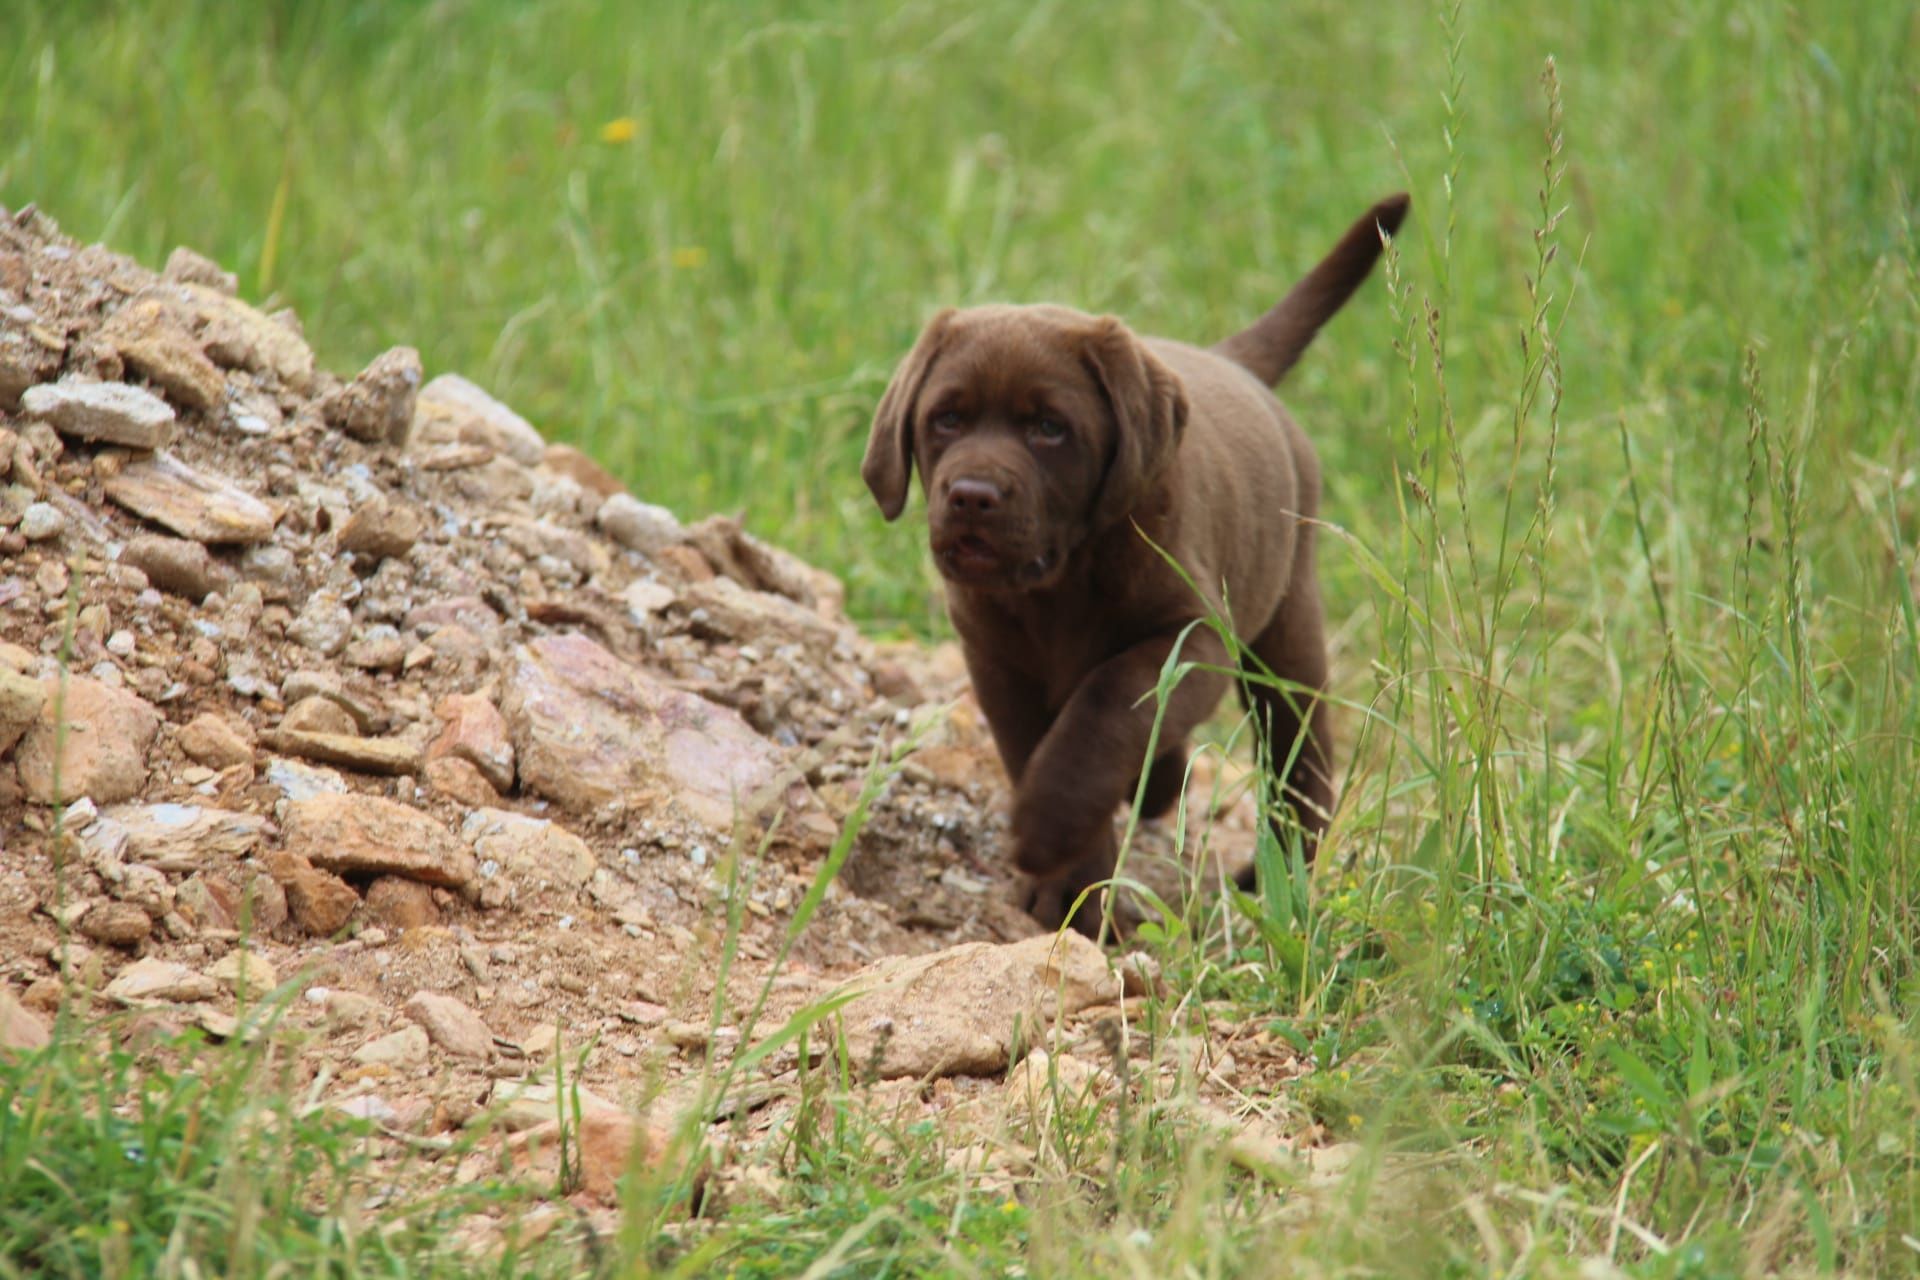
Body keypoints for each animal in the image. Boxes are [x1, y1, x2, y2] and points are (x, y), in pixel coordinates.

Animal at [864, 192, 1405, 932]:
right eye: (946, 420)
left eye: (1049, 429)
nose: (971, 495)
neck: (1058, 583)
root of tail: (1230, 363)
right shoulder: (996, 661)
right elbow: (1040, 746)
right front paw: (1075, 894)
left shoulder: (1191, 637)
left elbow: (1105, 708)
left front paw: (1047, 831)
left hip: (1286, 625)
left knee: (1300, 753)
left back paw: (1286, 874)